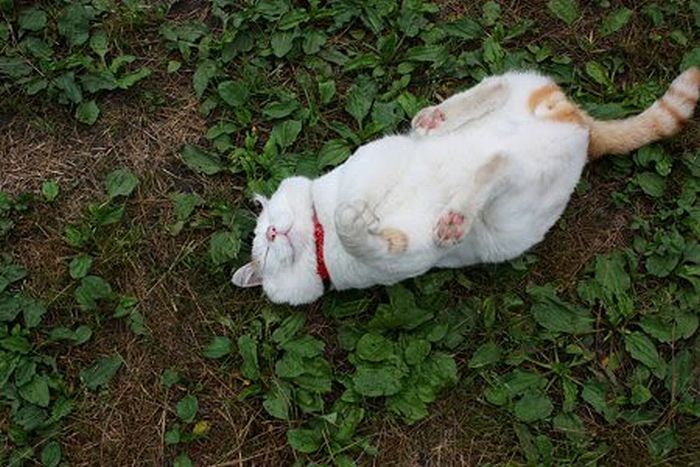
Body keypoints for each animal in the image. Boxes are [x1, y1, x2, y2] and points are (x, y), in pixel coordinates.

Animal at [231, 66, 700, 308]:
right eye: (265, 249)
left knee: (494, 89)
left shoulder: (374, 160)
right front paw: (361, 218)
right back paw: (458, 208)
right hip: (507, 220)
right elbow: (363, 233)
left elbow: (356, 196)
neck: (319, 236)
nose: (273, 232)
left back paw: (436, 119)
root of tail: (584, 129)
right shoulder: (403, 253)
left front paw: (355, 209)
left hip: (520, 112)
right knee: (498, 168)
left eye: (266, 230)